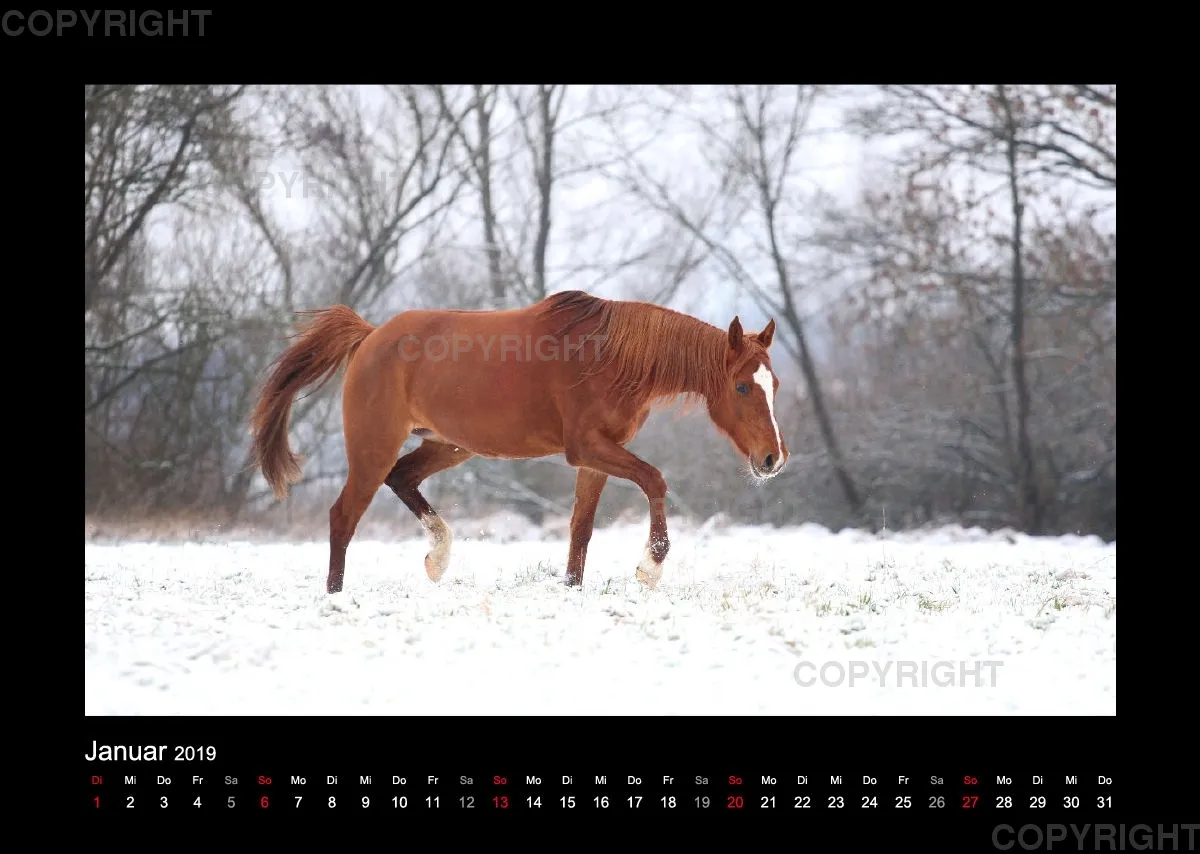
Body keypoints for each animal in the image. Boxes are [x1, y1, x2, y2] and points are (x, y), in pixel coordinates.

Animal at [249, 289, 788, 593]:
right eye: (742, 387)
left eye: (775, 384)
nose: (772, 459)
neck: (609, 356)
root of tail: (370, 335)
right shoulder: (587, 448)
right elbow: (655, 480)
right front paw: (650, 567)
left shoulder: (595, 459)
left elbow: (580, 530)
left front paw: (572, 588)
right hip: (373, 449)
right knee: (343, 517)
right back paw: (336, 595)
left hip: (449, 445)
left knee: (402, 480)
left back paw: (438, 557)